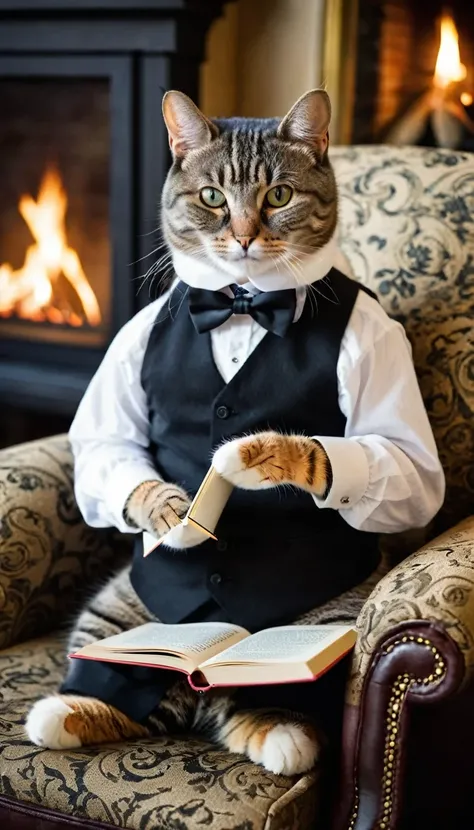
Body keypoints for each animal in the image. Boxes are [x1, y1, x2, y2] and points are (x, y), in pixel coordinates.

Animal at [24, 88, 370, 776]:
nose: (242, 236)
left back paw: (278, 729)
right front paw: (169, 509)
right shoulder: (128, 357)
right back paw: (69, 711)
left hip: (332, 622)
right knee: (134, 685)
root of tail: (204, 669)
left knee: (255, 699)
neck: (242, 303)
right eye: (212, 196)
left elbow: (381, 461)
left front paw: (258, 456)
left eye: (278, 196)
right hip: (116, 613)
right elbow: (109, 449)